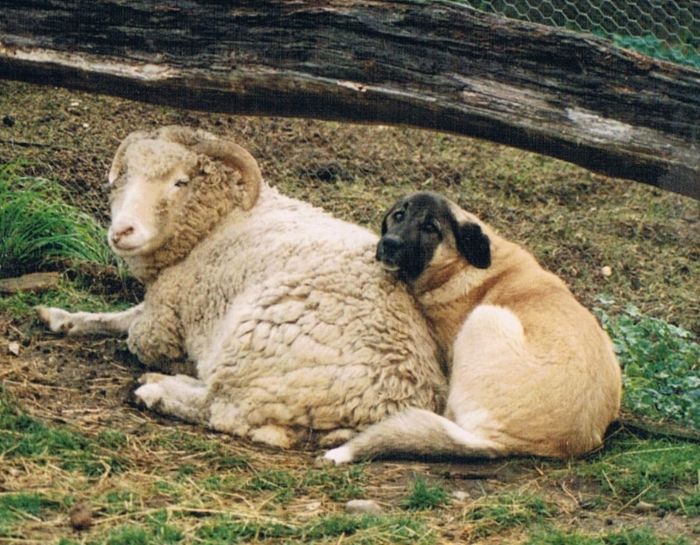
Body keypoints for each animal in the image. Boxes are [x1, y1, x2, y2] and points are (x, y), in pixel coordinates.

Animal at [37, 125, 442, 448]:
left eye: (180, 181)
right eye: (124, 177)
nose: (122, 232)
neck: (218, 221)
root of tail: (397, 398)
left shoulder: (164, 319)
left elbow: (135, 333)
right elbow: (117, 317)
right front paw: (63, 317)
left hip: (253, 352)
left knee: (220, 408)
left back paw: (153, 389)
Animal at [324, 191, 624, 464]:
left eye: (430, 228)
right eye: (399, 215)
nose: (389, 243)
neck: (459, 265)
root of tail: (505, 443)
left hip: (484, 318)